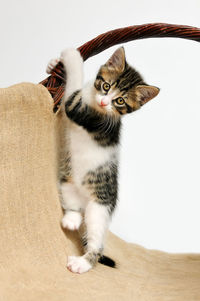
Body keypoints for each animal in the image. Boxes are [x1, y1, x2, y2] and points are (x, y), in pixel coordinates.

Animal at [46, 46, 159, 272]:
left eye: (120, 101)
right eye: (106, 86)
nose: (103, 101)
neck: (93, 102)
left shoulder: (80, 111)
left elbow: (74, 86)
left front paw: (72, 55)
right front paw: (54, 64)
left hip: (99, 209)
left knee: (96, 241)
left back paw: (82, 263)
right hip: (67, 182)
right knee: (74, 206)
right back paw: (71, 220)